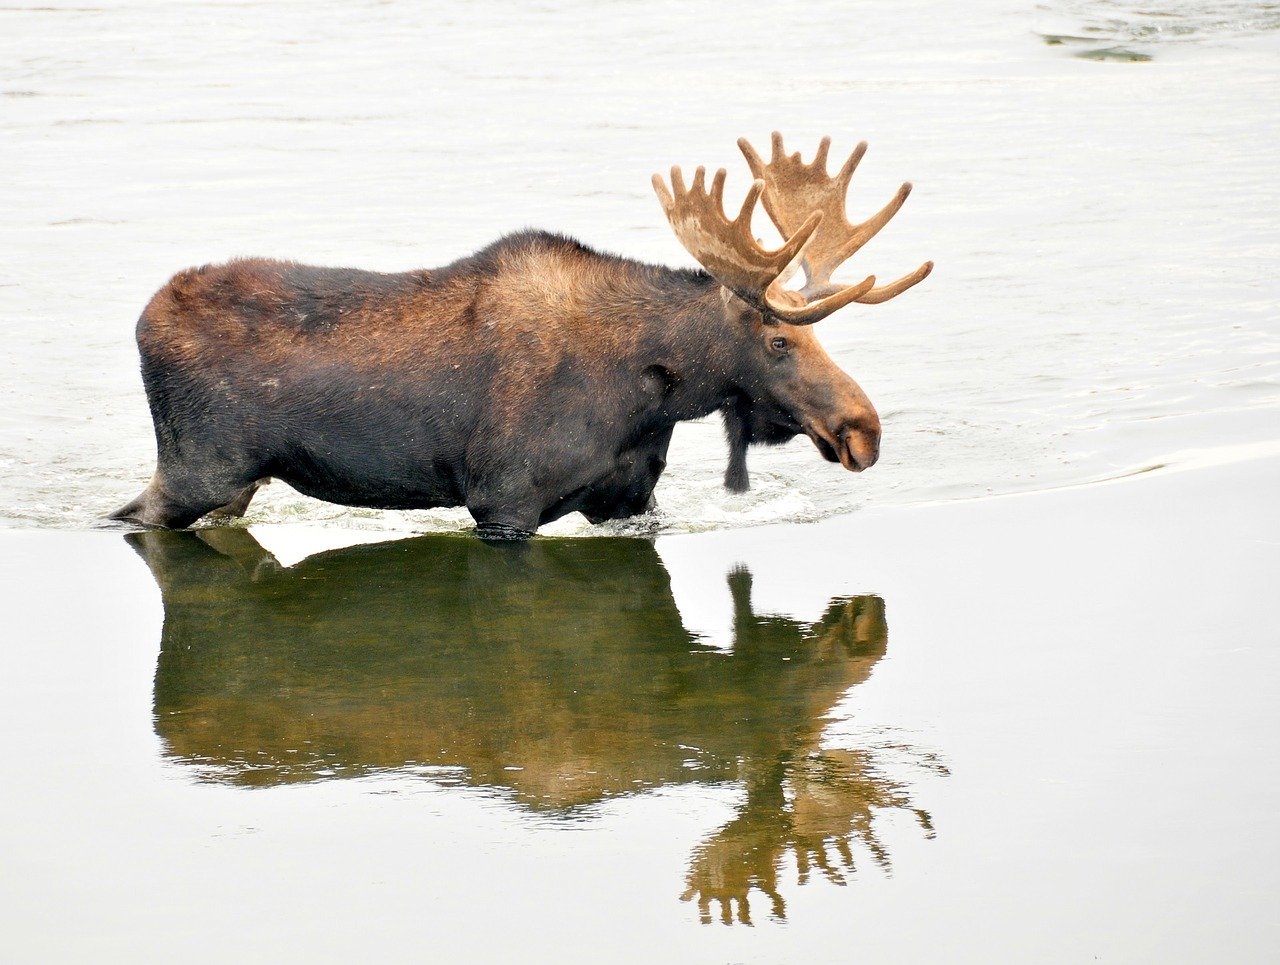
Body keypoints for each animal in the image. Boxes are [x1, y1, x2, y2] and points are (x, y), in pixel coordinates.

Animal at [110, 131, 931, 537]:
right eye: (779, 342)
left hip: (237, 482)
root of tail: (144, 319)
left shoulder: (629, 499)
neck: (651, 392)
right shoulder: (503, 498)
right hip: (198, 467)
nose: (863, 429)